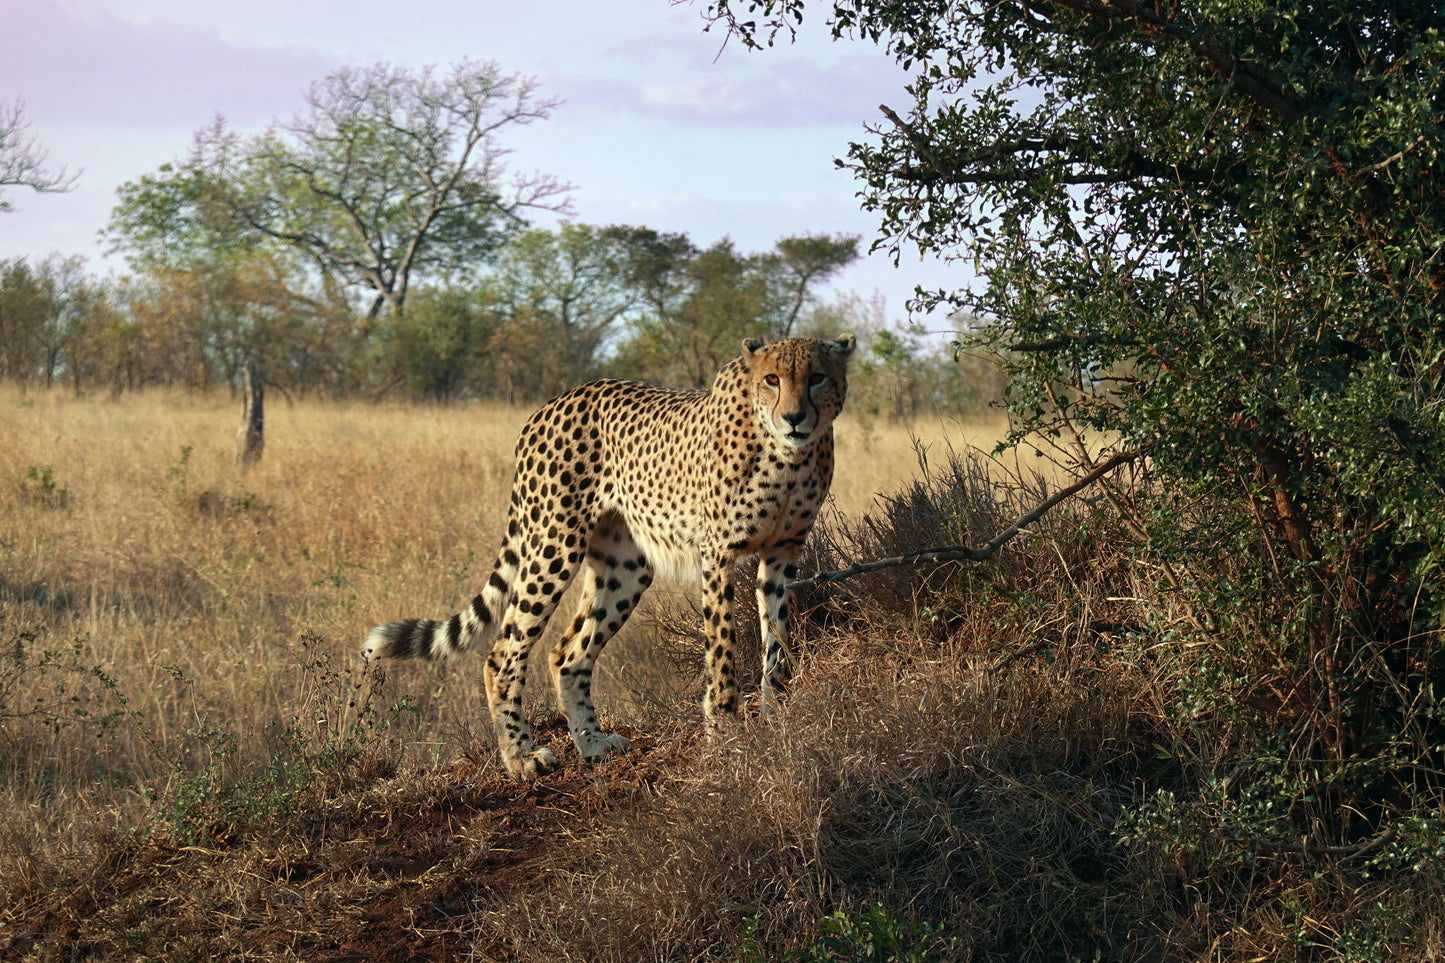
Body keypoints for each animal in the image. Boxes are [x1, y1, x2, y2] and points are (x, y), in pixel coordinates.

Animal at [364, 334, 855, 775]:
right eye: (772, 379)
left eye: (817, 377)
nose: (794, 418)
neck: (787, 456)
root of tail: (551, 404)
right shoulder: (717, 554)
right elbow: (722, 649)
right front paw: (726, 734)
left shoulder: (783, 551)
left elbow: (778, 642)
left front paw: (778, 719)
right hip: (553, 544)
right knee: (503, 653)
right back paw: (521, 756)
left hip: (626, 565)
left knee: (567, 654)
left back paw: (593, 745)